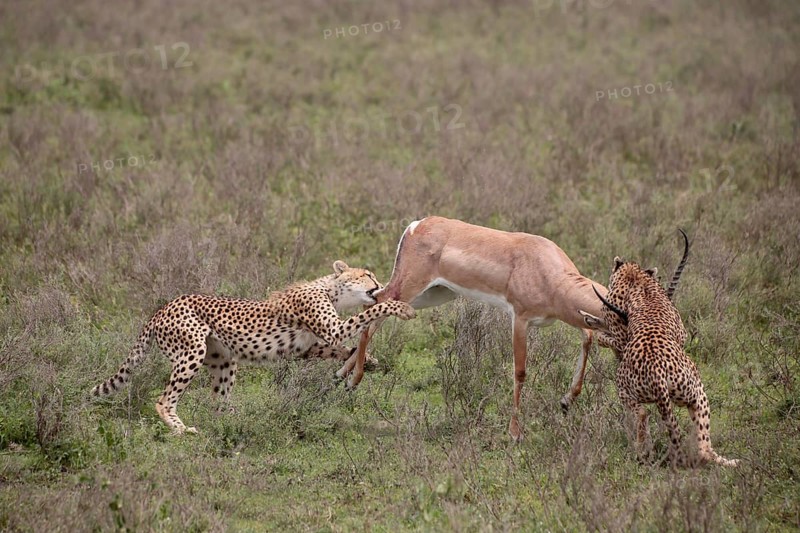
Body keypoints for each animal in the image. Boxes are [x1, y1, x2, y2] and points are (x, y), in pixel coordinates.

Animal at [91, 261, 416, 434]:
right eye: (368, 275)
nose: (381, 284)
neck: (330, 289)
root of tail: (161, 308)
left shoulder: (306, 349)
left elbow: (340, 349)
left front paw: (367, 359)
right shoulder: (331, 329)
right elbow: (366, 316)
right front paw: (399, 307)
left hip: (223, 360)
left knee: (219, 402)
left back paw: (238, 420)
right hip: (191, 351)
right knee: (164, 400)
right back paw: (183, 430)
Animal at [336, 216, 689, 441]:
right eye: (627, 340)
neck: (548, 272)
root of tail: (418, 224)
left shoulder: (571, 320)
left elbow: (587, 339)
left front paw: (566, 401)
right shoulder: (519, 319)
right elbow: (520, 372)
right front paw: (515, 433)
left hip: (433, 294)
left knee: (376, 311)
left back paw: (343, 374)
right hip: (410, 288)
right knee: (374, 305)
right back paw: (354, 379)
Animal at [584, 258, 738, 468]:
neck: (637, 281)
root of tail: (656, 371)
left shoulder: (620, 333)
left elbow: (604, 337)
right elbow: (604, 337)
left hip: (637, 392)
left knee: (645, 415)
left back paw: (643, 451)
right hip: (694, 393)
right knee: (702, 447)